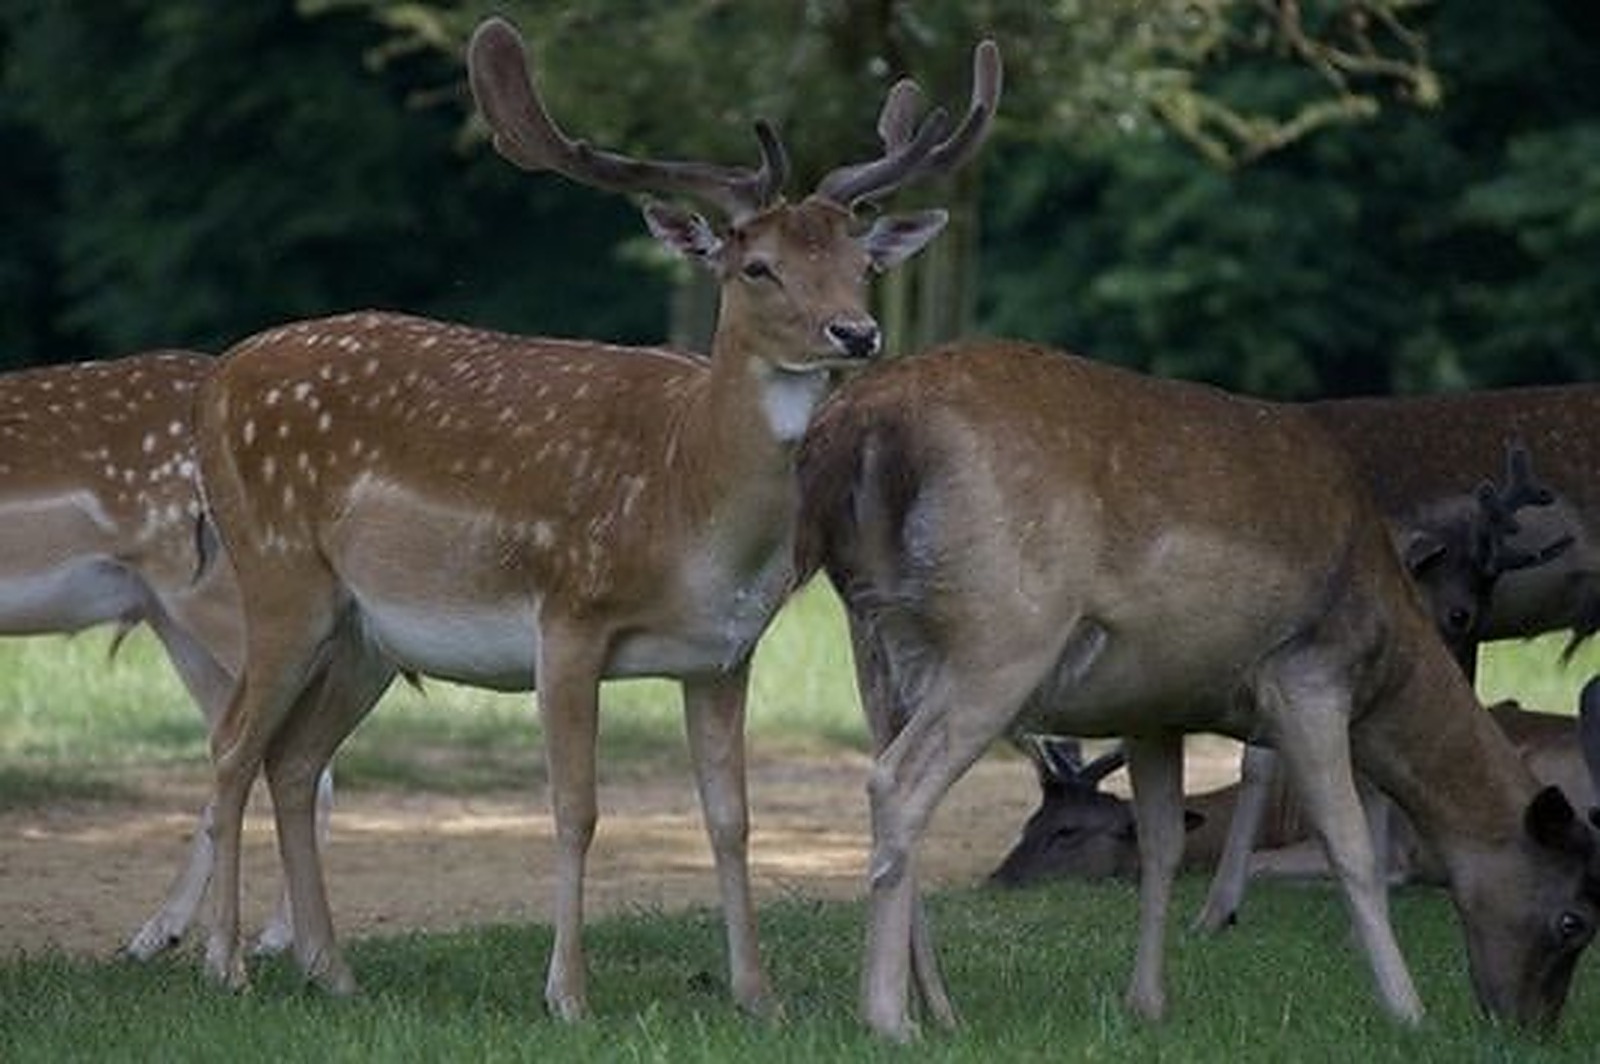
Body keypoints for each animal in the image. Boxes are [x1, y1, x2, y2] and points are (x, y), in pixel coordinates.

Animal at [188, 16, 999, 1021]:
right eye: (757, 266)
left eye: (861, 264)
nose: (857, 332)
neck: (686, 507)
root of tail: (215, 384)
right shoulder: (567, 618)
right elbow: (577, 810)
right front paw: (568, 996)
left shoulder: (723, 654)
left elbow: (730, 819)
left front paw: (757, 997)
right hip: (278, 574)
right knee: (230, 744)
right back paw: (223, 965)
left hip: (367, 633)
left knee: (293, 760)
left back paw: (333, 972)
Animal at [795, 339, 1600, 1041]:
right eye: (1575, 921)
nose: (1530, 1027)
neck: (1386, 651)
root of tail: (853, 428)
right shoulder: (1307, 672)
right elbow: (1350, 845)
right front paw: (1408, 1012)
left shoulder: (1153, 706)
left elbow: (1161, 845)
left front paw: (1147, 1004)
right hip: (1002, 632)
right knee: (896, 781)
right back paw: (888, 1020)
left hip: (876, 638)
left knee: (893, 779)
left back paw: (942, 1010)